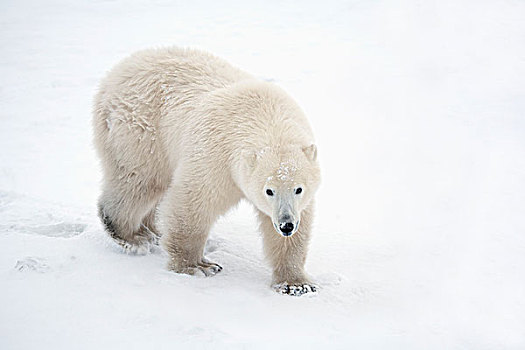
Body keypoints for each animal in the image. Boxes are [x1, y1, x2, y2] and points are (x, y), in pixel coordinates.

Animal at [93, 47, 322, 296]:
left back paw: (151, 231)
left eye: (299, 189)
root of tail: (111, 77)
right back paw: (132, 236)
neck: (265, 116)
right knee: (140, 180)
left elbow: (295, 231)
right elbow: (194, 203)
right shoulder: (216, 156)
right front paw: (198, 266)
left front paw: (296, 284)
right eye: (269, 190)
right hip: (141, 130)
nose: (286, 225)